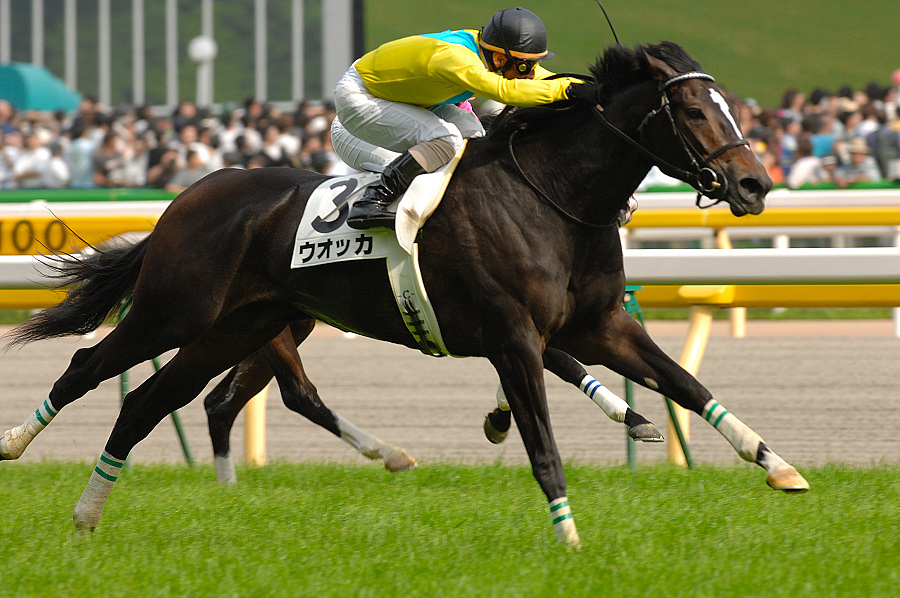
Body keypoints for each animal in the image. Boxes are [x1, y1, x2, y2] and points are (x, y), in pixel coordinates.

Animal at [0, 41, 808, 546]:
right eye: (695, 112)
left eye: (730, 108)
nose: (754, 184)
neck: (553, 199)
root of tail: (187, 197)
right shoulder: (515, 337)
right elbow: (543, 446)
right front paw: (571, 539)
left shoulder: (601, 326)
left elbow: (688, 385)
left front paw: (778, 465)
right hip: (175, 310)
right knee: (89, 369)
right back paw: (15, 446)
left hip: (240, 327)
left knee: (147, 402)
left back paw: (86, 516)